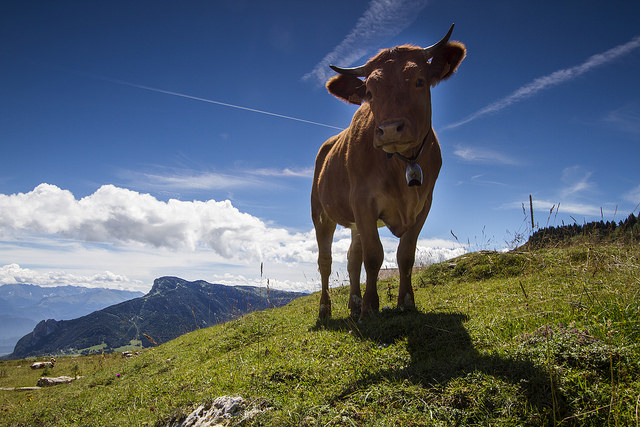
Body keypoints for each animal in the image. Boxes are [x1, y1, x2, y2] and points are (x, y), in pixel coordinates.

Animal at [312, 22, 464, 318]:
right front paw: (371, 306)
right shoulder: (363, 201)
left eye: (419, 80)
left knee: (352, 258)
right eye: (369, 92)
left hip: (353, 221)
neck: (401, 162)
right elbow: (374, 256)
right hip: (321, 214)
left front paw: (406, 300)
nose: (391, 129)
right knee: (325, 261)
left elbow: (405, 254)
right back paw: (326, 309)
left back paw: (353, 304)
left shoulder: (424, 203)